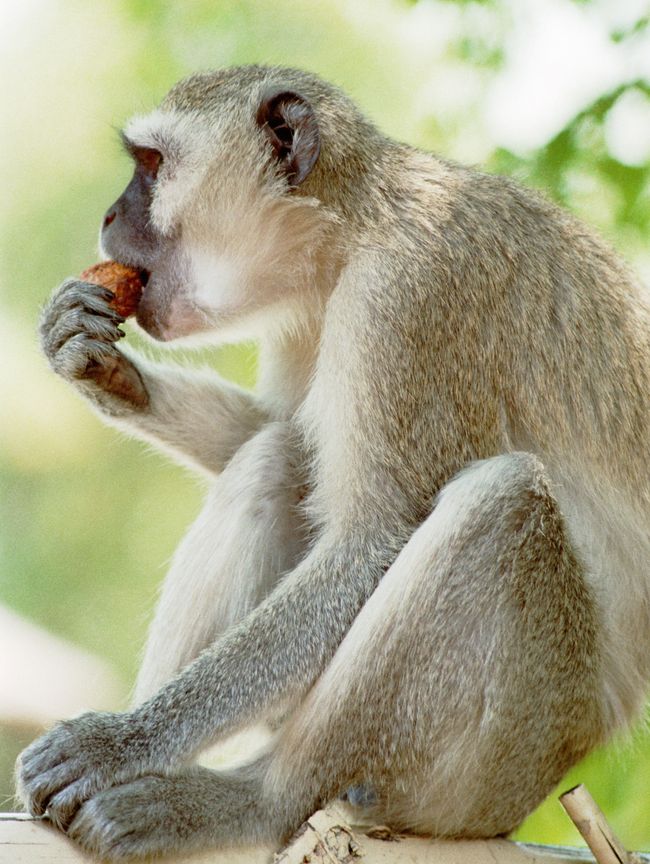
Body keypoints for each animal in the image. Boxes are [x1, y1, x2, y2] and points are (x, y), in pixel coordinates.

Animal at [16, 64, 650, 860]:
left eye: (152, 166)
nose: (107, 217)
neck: (349, 232)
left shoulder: (407, 298)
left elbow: (370, 539)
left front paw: (118, 744)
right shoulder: (305, 313)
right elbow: (277, 432)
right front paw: (100, 367)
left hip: (506, 756)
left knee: (501, 504)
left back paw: (253, 800)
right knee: (277, 457)